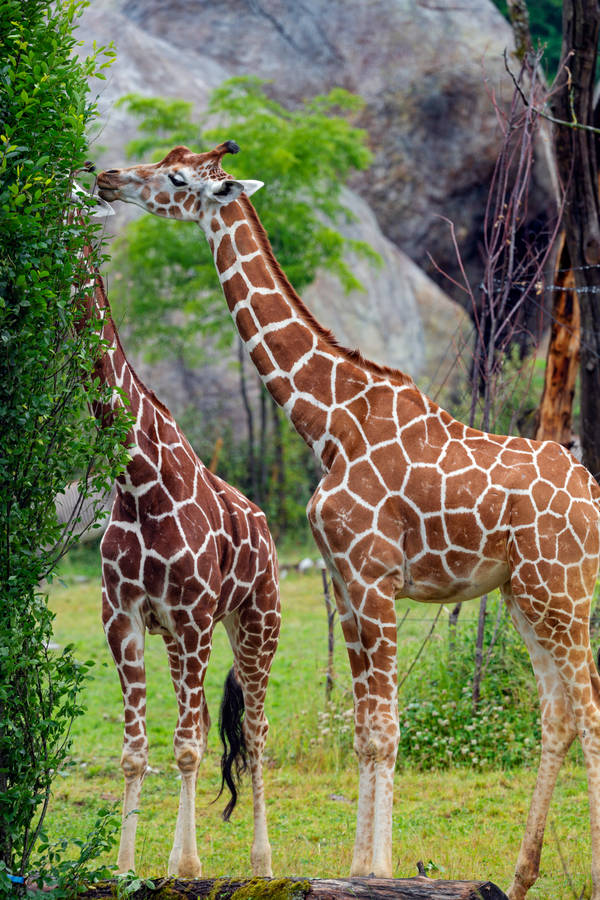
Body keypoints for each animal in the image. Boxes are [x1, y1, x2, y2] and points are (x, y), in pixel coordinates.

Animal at [75, 234, 280, 879]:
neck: (138, 480)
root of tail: (263, 522)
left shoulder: (193, 618)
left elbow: (188, 747)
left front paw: (186, 865)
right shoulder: (123, 618)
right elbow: (135, 752)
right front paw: (125, 866)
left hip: (257, 623)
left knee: (257, 732)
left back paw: (263, 861)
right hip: (181, 641)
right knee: (214, 726)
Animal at [98, 143, 600, 899]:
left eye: (177, 177)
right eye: (166, 158)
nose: (107, 178)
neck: (326, 422)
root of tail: (594, 496)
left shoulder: (373, 578)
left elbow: (385, 729)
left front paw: (383, 869)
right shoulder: (347, 585)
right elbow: (365, 729)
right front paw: (362, 867)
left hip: (564, 591)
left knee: (590, 708)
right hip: (524, 594)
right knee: (560, 712)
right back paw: (519, 877)